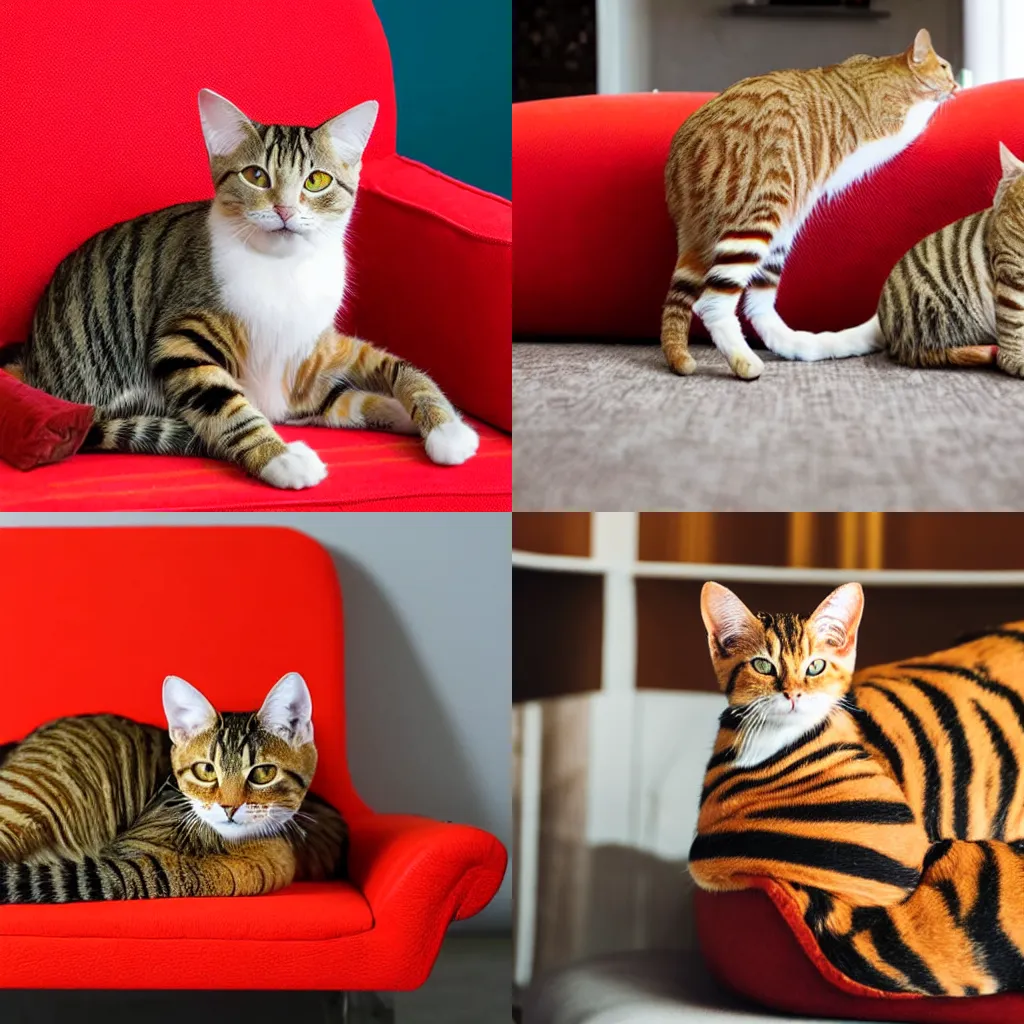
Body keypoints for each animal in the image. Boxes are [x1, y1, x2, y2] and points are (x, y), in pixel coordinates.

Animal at [6, 90, 477, 485]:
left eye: (316, 181)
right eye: (256, 176)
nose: (284, 210)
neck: (284, 271)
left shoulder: (309, 359)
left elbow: (398, 372)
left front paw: (444, 425)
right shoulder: (183, 340)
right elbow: (230, 407)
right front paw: (279, 456)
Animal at [663, 29, 958, 380]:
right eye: (945, 67)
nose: (957, 85)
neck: (885, 69)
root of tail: (680, 157)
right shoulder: (893, 123)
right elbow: (922, 114)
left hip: (780, 232)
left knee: (757, 307)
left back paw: (802, 345)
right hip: (758, 214)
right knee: (712, 304)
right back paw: (743, 358)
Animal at [856, 138, 1024, 374]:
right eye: (999, 204)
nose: (997, 216)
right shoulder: (1010, 275)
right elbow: (1013, 324)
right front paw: (1016, 360)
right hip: (935, 310)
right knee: (929, 354)